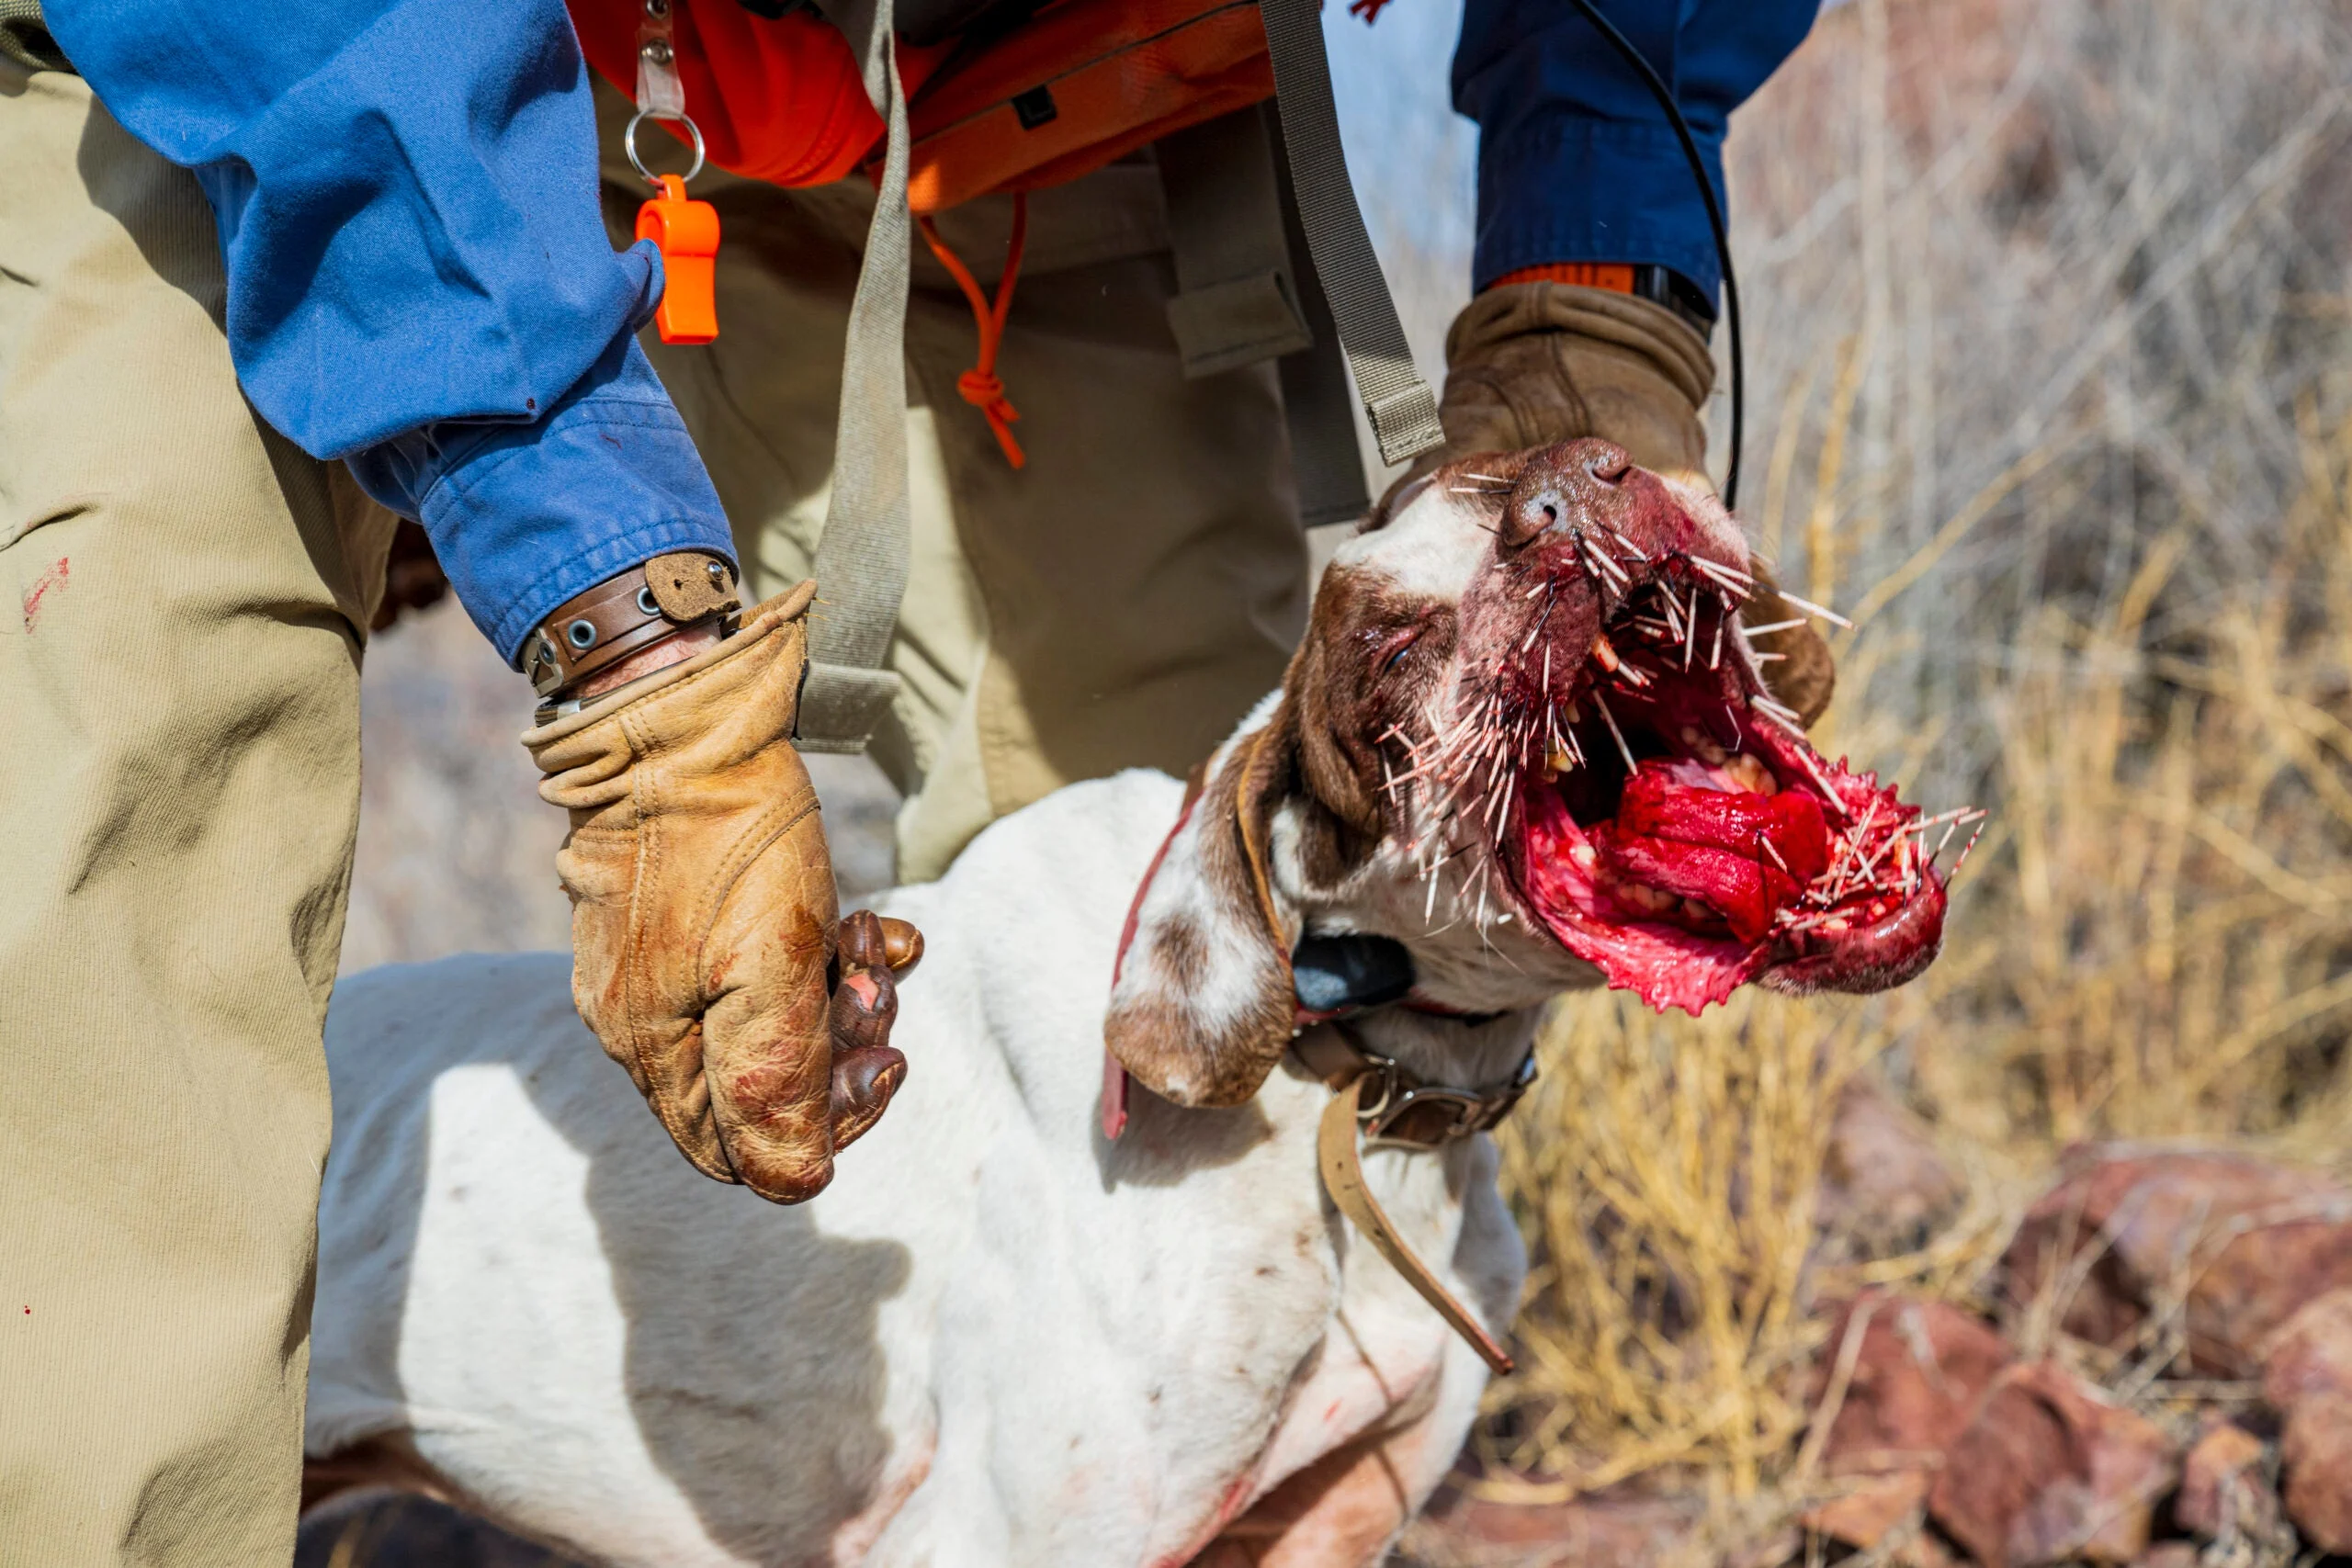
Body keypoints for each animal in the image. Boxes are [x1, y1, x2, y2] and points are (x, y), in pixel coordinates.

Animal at [299, 434, 1947, 1561]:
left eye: (1552, 449)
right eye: (1389, 645)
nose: (1575, 489)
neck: (1341, 1082)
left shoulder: (1330, 1518)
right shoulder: (1001, 1535)